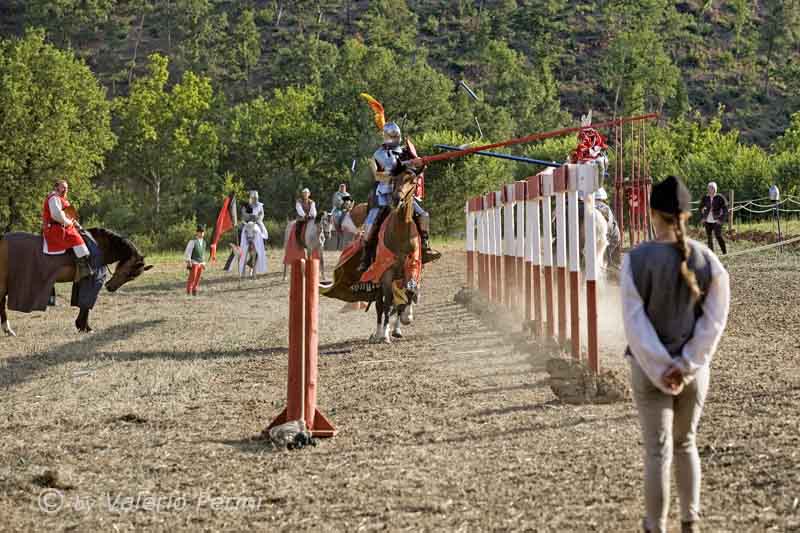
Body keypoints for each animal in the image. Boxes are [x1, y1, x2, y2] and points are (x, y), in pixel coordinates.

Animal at [0, 227, 152, 334]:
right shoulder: (91, 281)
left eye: (132, 277)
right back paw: (8, 329)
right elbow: (86, 304)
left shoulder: (81, 282)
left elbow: (82, 303)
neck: (99, 246)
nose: (111, 288)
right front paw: (86, 327)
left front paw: (81, 326)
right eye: (128, 273)